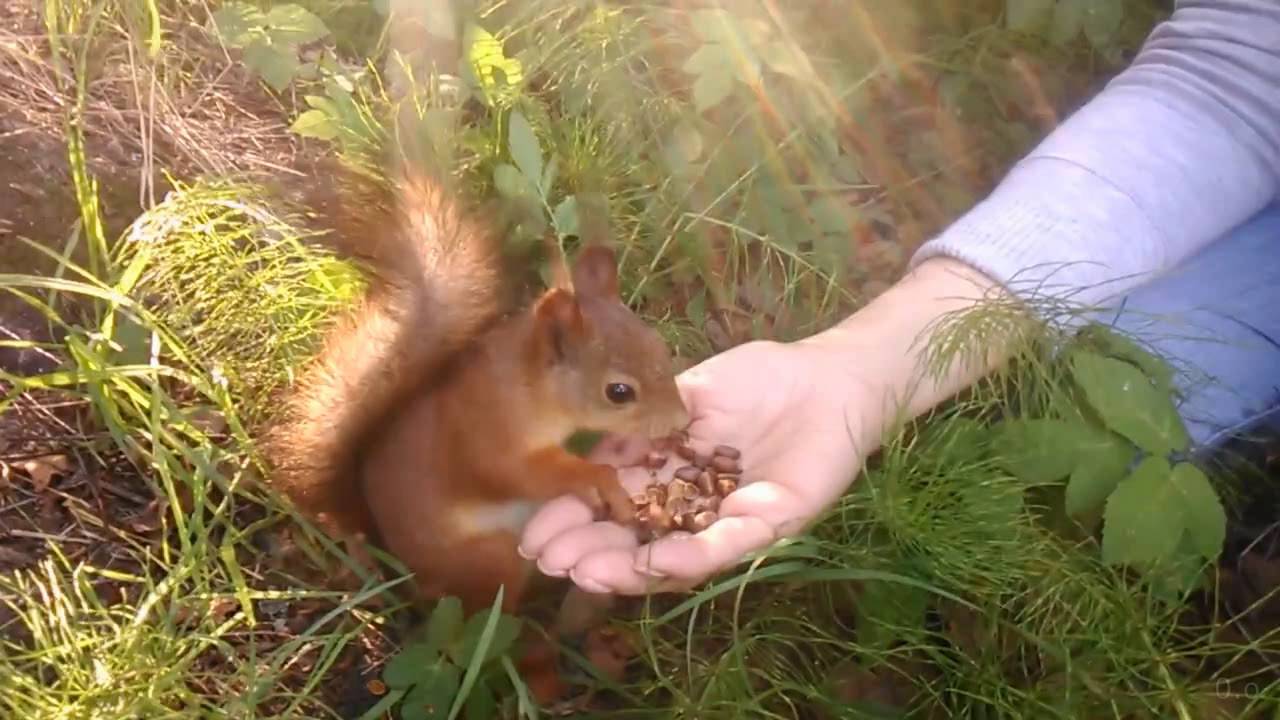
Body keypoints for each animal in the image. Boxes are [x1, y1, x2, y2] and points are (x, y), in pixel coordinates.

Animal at [266, 163, 696, 622]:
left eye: (659, 347)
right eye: (618, 391)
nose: (681, 420)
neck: (529, 388)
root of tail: (403, 571)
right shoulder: (488, 434)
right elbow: (520, 472)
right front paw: (599, 479)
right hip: (492, 559)